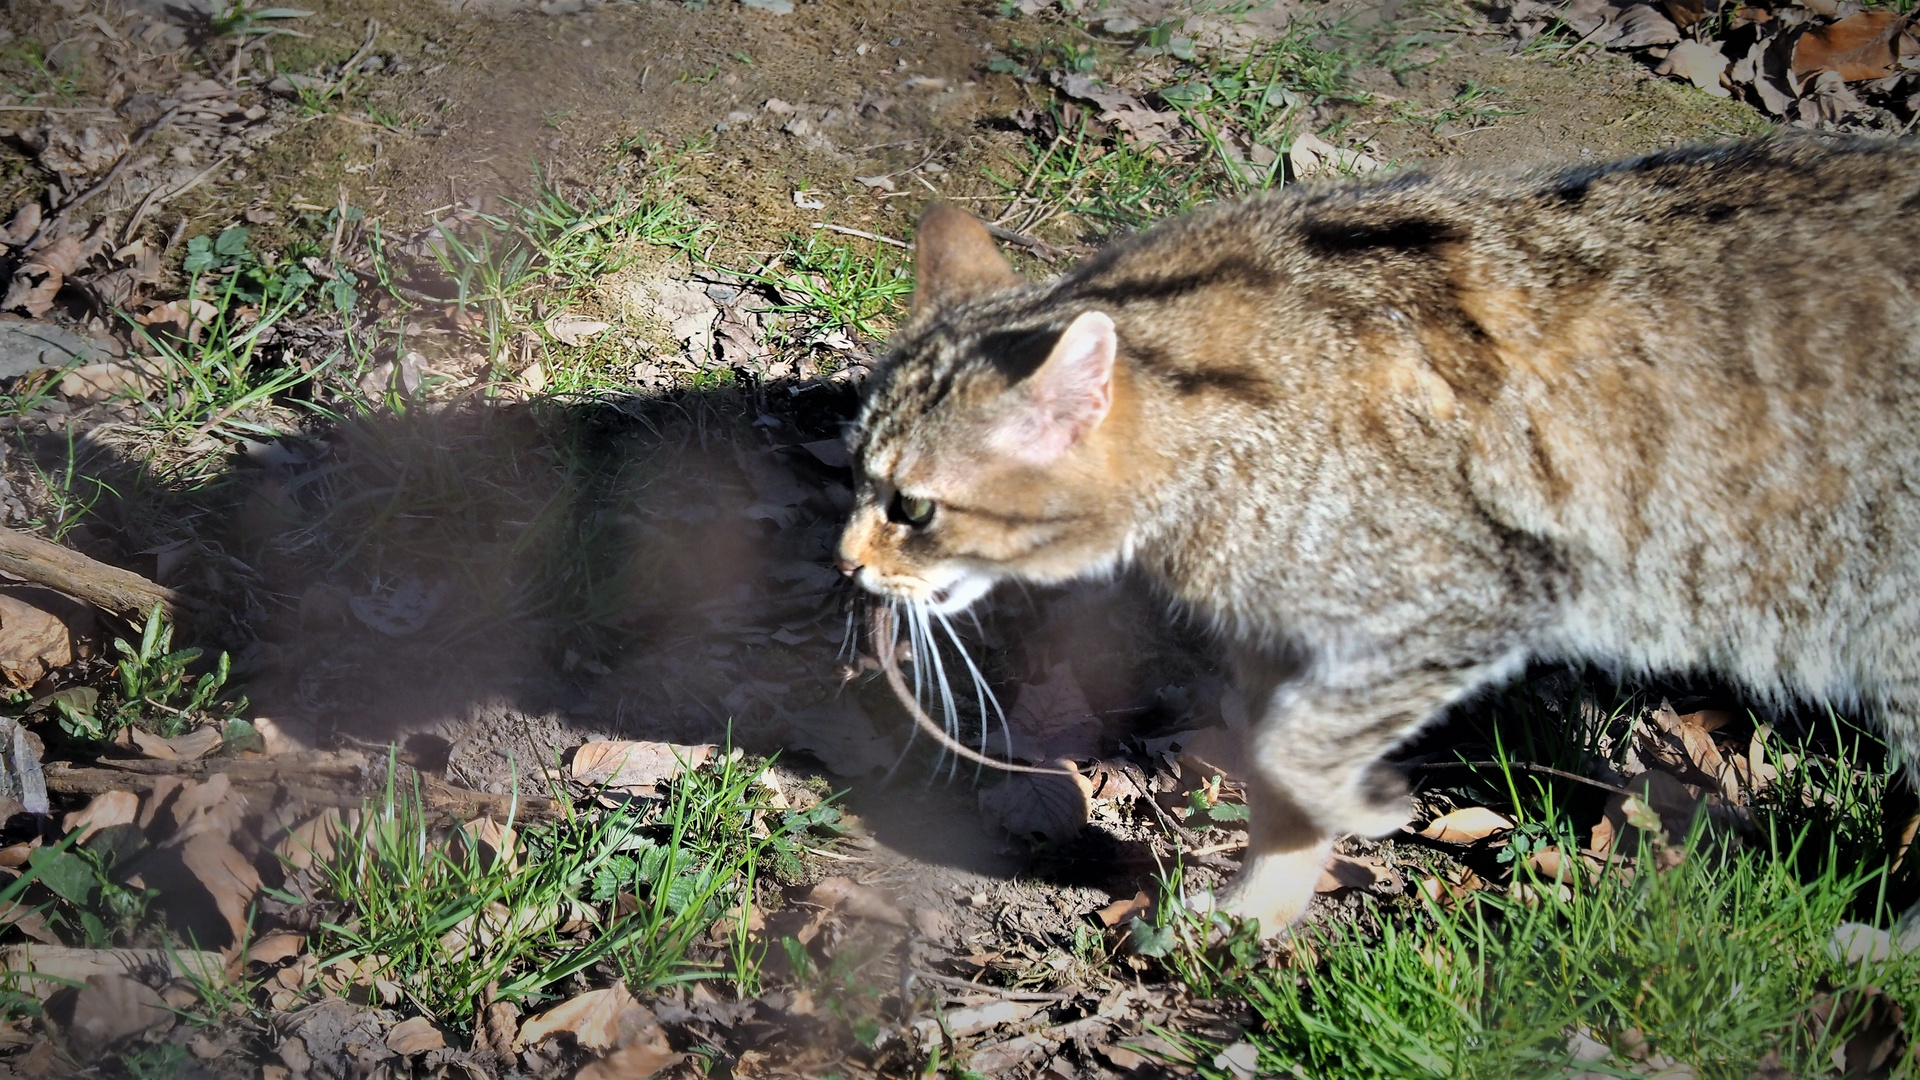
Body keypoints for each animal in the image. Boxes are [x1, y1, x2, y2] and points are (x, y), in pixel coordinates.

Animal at [833, 138, 1920, 930]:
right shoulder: (1284, 635)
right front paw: (1258, 913)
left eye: (912, 508)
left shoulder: (1474, 595)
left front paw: (1366, 805)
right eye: (855, 472)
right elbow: (1275, 773)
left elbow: (1295, 749)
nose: (848, 560)